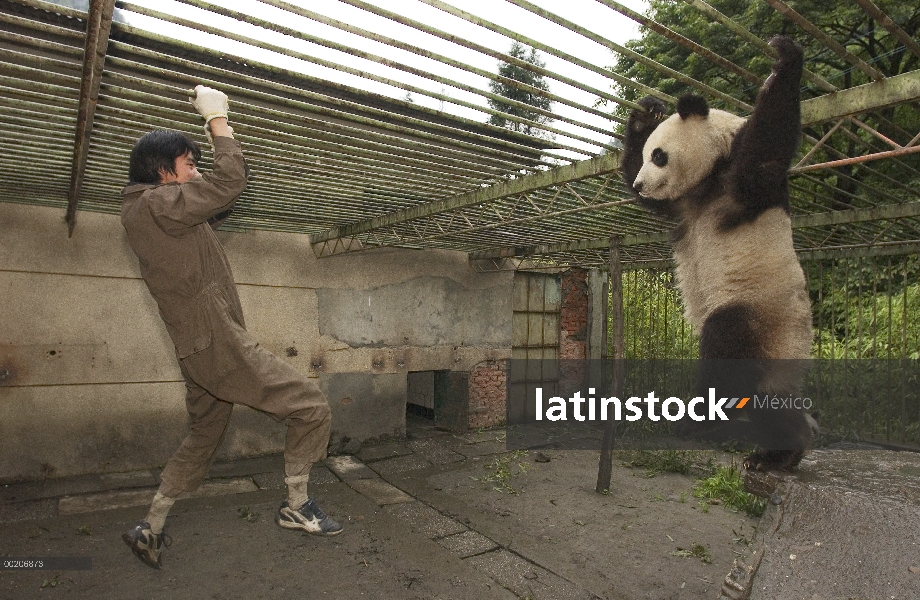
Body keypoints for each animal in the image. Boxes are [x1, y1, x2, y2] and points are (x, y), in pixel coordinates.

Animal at [620, 36, 816, 474]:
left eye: (659, 155)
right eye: (648, 154)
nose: (640, 185)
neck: (708, 179)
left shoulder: (742, 184)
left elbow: (766, 147)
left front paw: (785, 59)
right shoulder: (680, 204)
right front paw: (646, 111)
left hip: (760, 308)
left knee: (726, 345)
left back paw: (708, 425)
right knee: (764, 402)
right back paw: (780, 451)